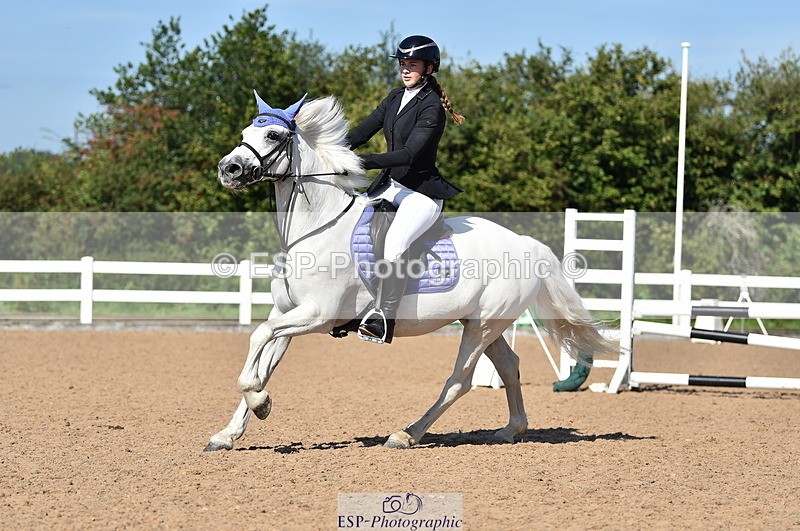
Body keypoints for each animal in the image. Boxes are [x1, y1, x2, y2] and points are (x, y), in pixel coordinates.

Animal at [204, 91, 616, 451]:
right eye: (245, 134)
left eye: (273, 135)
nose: (229, 169)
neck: (316, 227)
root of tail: (525, 243)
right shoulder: (287, 312)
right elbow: (265, 360)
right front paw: (229, 432)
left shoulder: (317, 315)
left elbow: (258, 338)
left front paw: (260, 402)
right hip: (483, 322)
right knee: (509, 367)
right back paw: (511, 430)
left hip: (483, 326)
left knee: (459, 382)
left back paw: (406, 435)